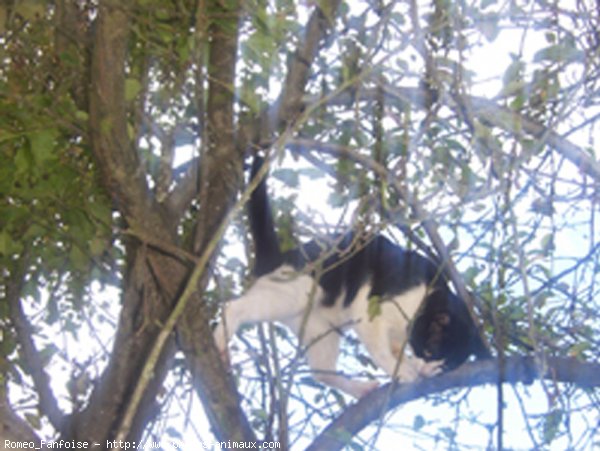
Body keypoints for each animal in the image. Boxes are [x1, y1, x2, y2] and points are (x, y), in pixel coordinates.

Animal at [213, 155, 490, 400]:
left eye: (450, 365)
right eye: (432, 350)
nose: (434, 364)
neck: (429, 295)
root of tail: (281, 256)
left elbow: (395, 350)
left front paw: (416, 366)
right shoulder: (370, 311)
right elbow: (381, 350)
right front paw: (406, 371)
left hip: (320, 329)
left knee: (322, 373)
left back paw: (360, 388)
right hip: (293, 293)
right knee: (233, 306)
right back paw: (220, 343)